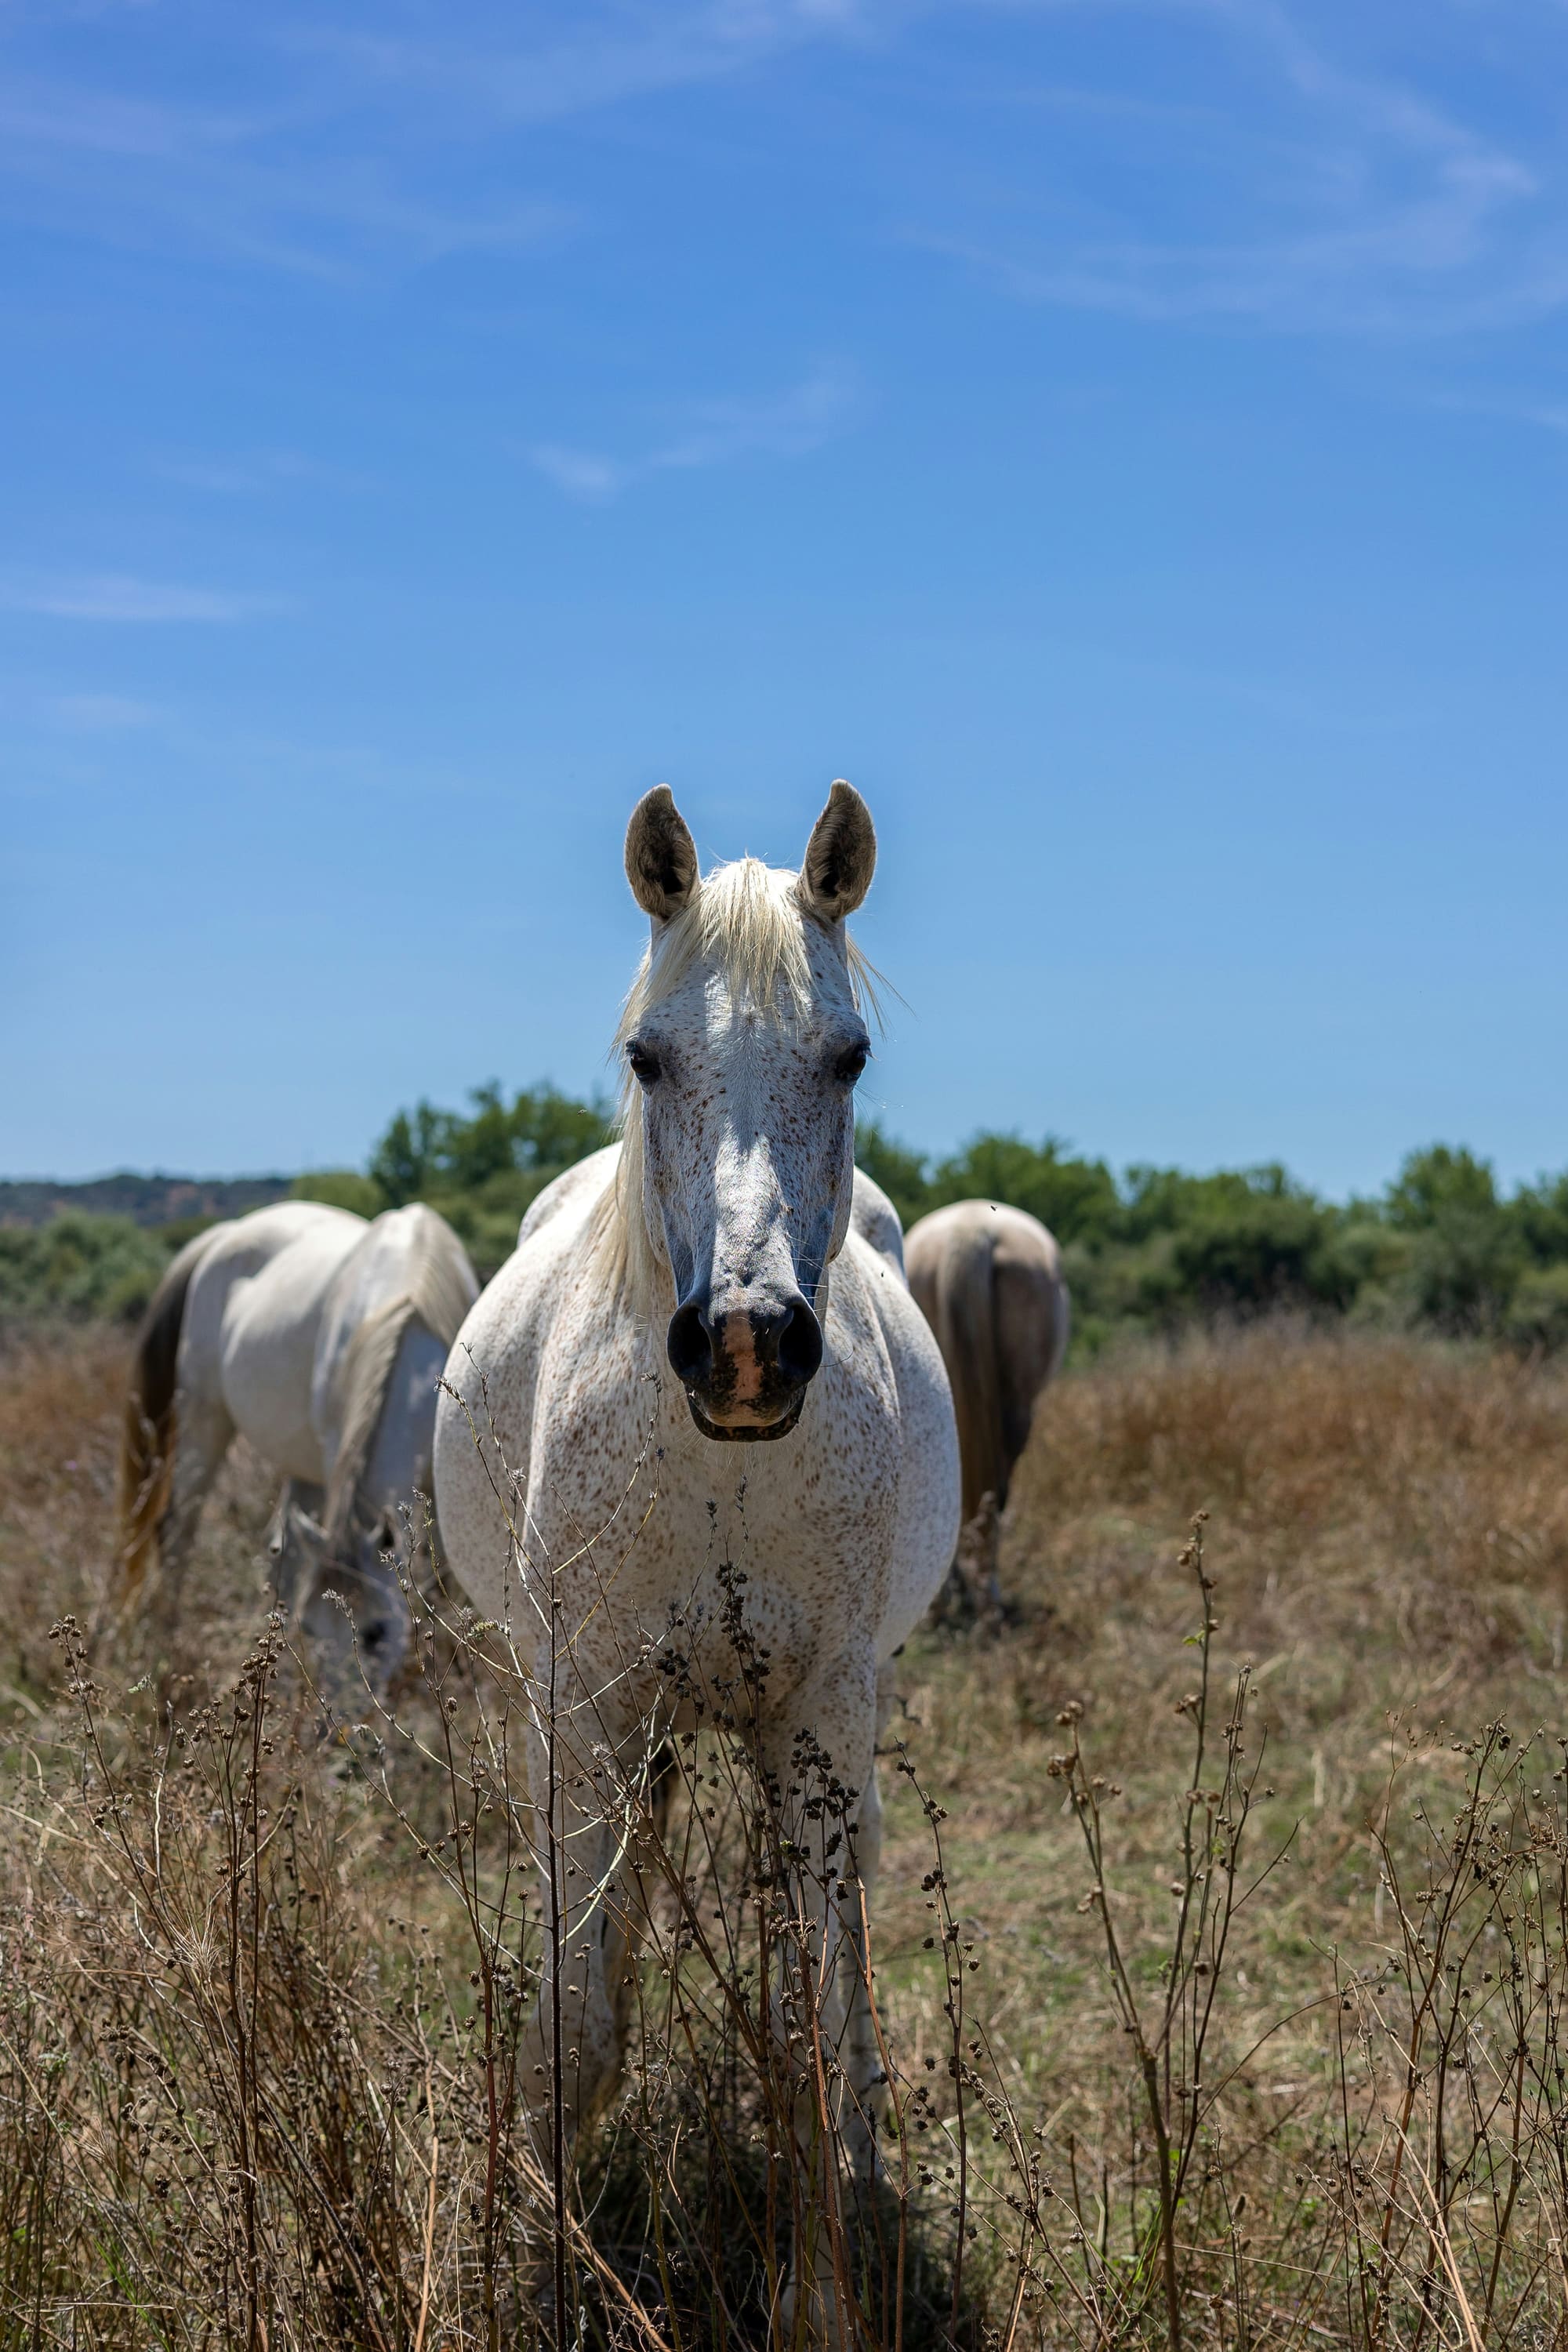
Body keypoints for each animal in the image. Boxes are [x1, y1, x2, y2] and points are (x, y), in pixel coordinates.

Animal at [119, 1199, 479, 1692]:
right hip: (203, 1420)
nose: (335, 1716)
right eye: (312, 1627)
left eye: (376, 1633)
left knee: (281, 1547)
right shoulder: (336, 1456)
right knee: (176, 1530)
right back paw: (169, 1647)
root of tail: (223, 1237)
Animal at [432, 782, 959, 2239]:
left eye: (847, 1057)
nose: (745, 1343)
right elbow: (578, 2015)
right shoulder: (588, 1708)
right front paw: (541, 2230)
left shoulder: (823, 1711)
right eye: (648, 1057)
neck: (721, 1471)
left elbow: (820, 2025)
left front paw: (843, 2222)